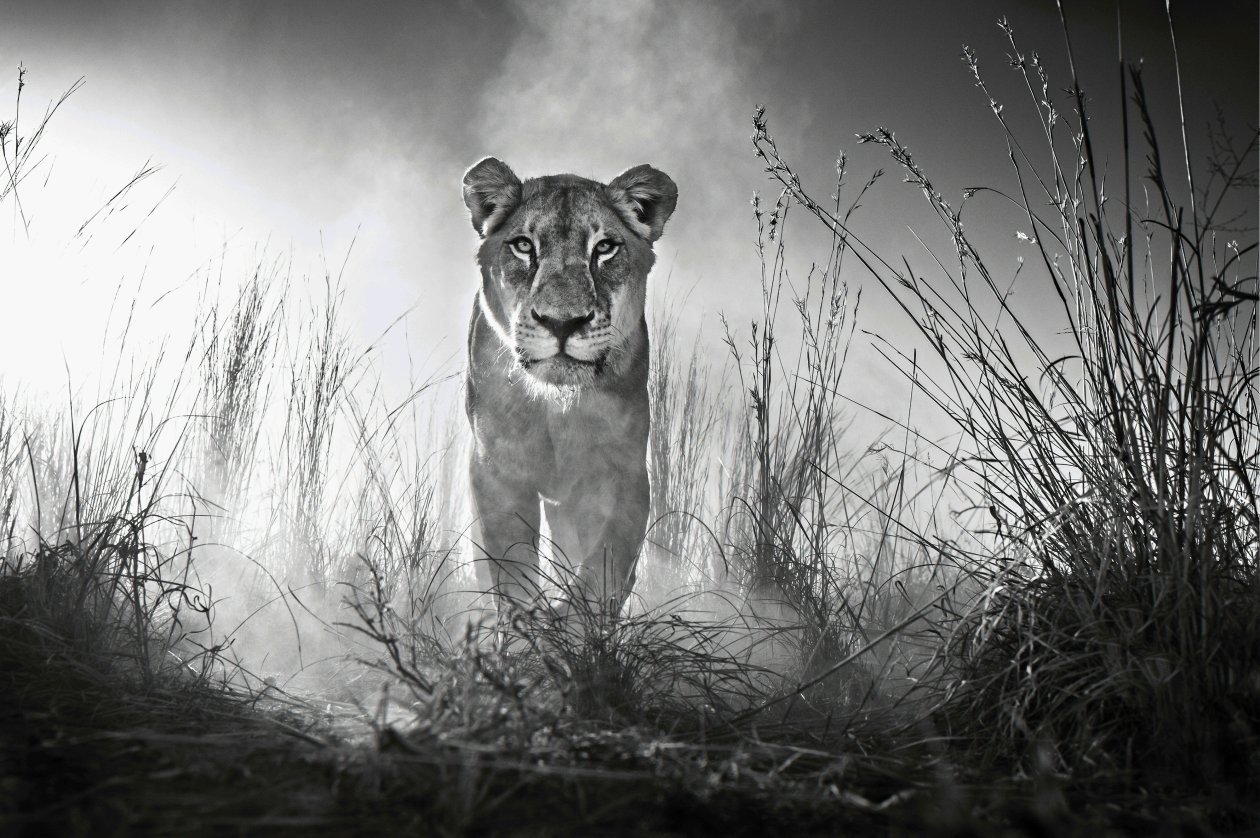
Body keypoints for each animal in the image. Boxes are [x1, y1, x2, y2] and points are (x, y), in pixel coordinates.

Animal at [461, 157, 677, 619]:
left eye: (605, 248)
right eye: (523, 246)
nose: (562, 323)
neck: (556, 408)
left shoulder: (623, 473)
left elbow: (605, 565)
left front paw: (571, 620)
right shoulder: (496, 470)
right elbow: (511, 566)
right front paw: (526, 626)